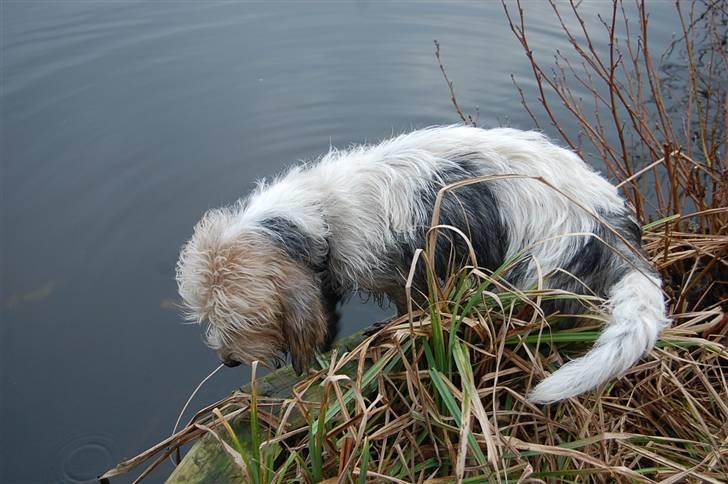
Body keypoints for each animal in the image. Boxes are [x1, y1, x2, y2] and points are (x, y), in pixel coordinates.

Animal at [175, 125, 664, 400]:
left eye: (245, 319)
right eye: (206, 315)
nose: (227, 361)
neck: (322, 214)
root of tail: (613, 229)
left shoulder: (411, 280)